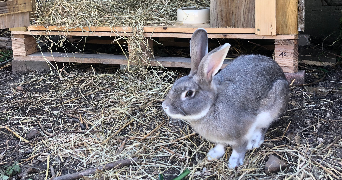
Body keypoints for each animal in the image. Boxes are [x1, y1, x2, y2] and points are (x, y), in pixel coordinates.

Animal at [163, 28, 288, 168]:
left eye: (189, 93)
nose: (165, 106)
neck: (212, 105)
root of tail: (281, 74)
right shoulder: (220, 139)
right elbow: (221, 145)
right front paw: (213, 155)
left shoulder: (241, 133)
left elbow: (239, 148)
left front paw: (234, 163)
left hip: (272, 108)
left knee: (263, 127)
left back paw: (254, 142)